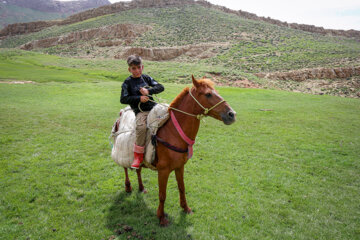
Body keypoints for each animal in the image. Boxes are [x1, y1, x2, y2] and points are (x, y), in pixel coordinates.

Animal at [122, 76, 238, 226]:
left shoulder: (180, 167)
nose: (232, 114)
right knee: (126, 169)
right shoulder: (163, 171)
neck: (173, 133)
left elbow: (182, 188)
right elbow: (162, 194)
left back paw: (141, 187)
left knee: (138, 170)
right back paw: (128, 187)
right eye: (208, 94)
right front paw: (161, 217)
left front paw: (186, 208)